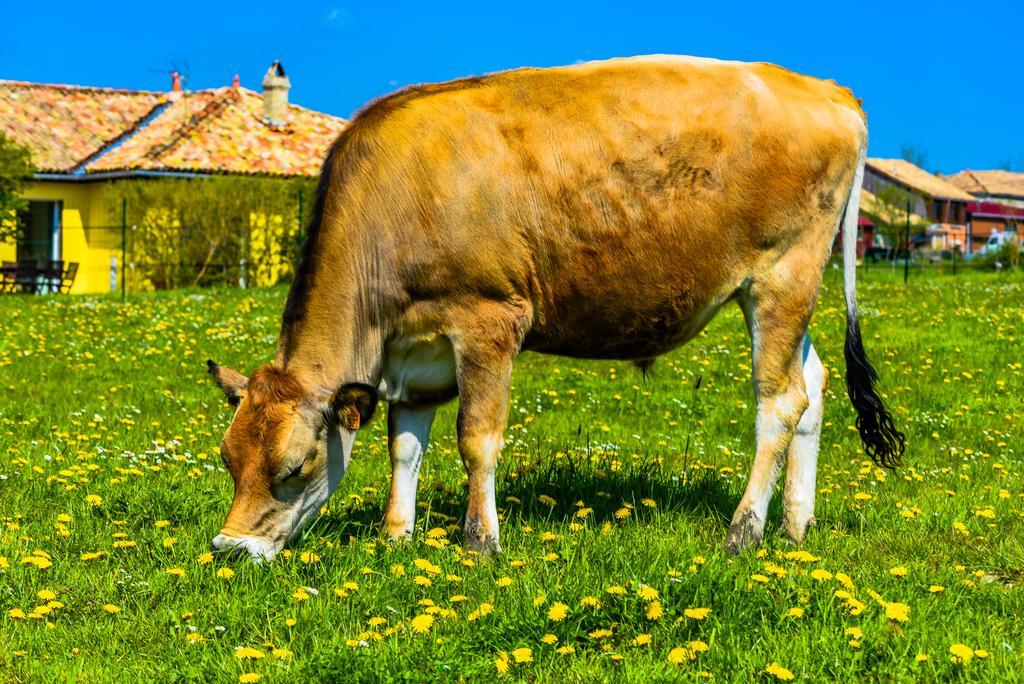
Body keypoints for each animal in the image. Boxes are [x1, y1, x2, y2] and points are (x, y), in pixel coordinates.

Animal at [207, 56, 905, 561]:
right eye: (227, 460)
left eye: (294, 465)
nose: (228, 548)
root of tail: (826, 89)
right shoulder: (412, 356)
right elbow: (404, 447)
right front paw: (396, 538)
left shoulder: (489, 320)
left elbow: (477, 439)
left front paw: (480, 542)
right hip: (791, 290)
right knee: (811, 386)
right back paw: (794, 526)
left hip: (781, 277)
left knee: (779, 402)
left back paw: (744, 531)